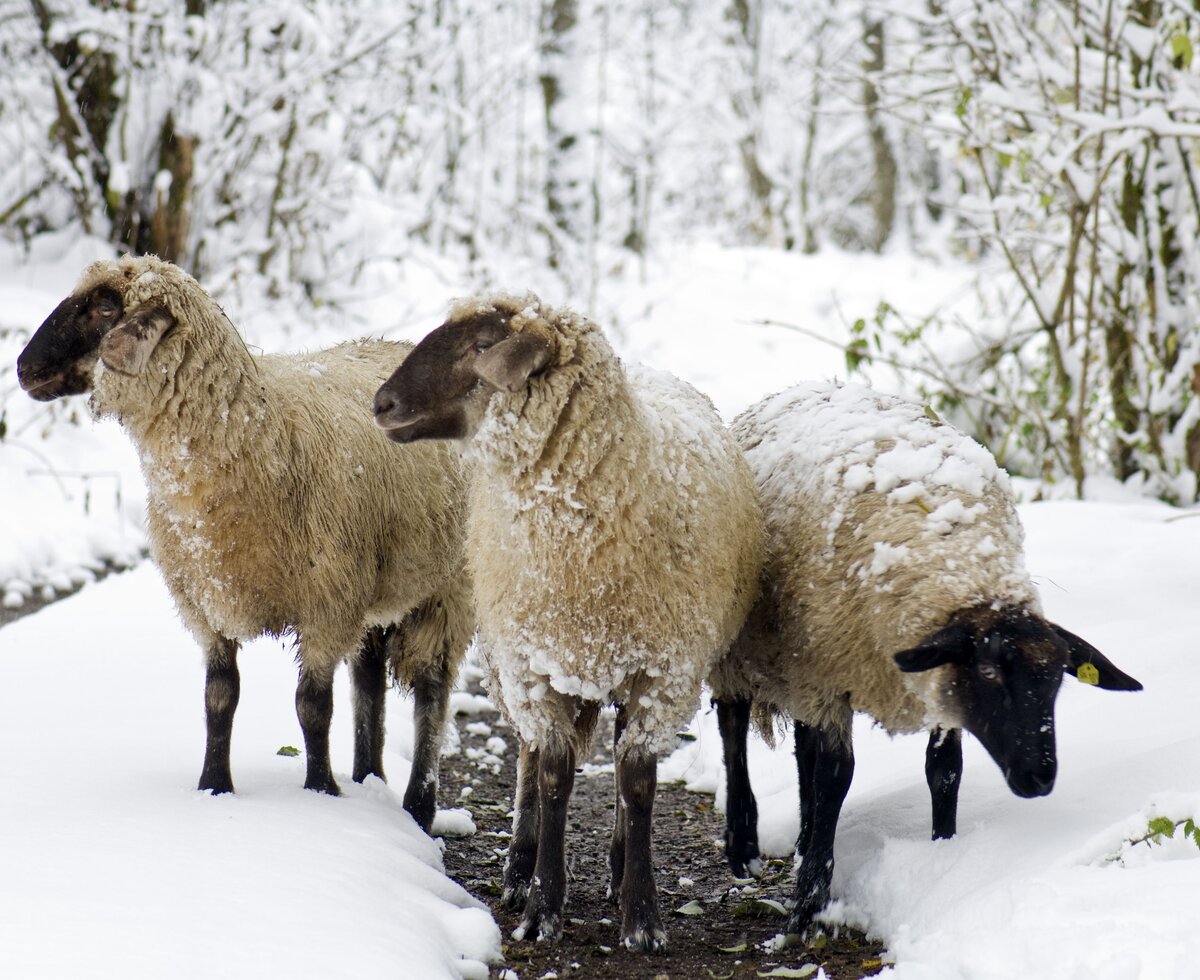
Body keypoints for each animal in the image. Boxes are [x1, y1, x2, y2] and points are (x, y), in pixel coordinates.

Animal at [16, 251, 472, 825]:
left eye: (103, 307)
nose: (22, 369)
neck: (255, 434)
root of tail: (399, 344)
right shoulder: (207, 603)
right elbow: (219, 699)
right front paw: (214, 788)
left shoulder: (326, 604)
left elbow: (312, 706)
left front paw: (319, 791)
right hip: (375, 587)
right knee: (368, 680)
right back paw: (368, 779)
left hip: (447, 589)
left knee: (432, 693)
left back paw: (416, 805)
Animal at [374, 293, 763, 950]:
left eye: (482, 344)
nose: (381, 404)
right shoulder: (532, 665)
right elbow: (554, 778)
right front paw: (541, 909)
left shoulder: (663, 672)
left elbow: (638, 784)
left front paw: (642, 917)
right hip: (517, 664)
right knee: (530, 758)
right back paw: (518, 867)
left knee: (620, 760)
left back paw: (616, 867)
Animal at [710, 381, 1142, 930]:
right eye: (988, 672)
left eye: (1055, 683)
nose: (1040, 778)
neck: (958, 570)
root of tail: (811, 383)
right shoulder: (830, 674)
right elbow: (836, 778)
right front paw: (808, 904)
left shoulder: (931, 687)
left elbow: (944, 770)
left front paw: (943, 857)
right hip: (744, 648)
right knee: (733, 729)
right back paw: (743, 841)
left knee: (804, 749)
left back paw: (805, 838)